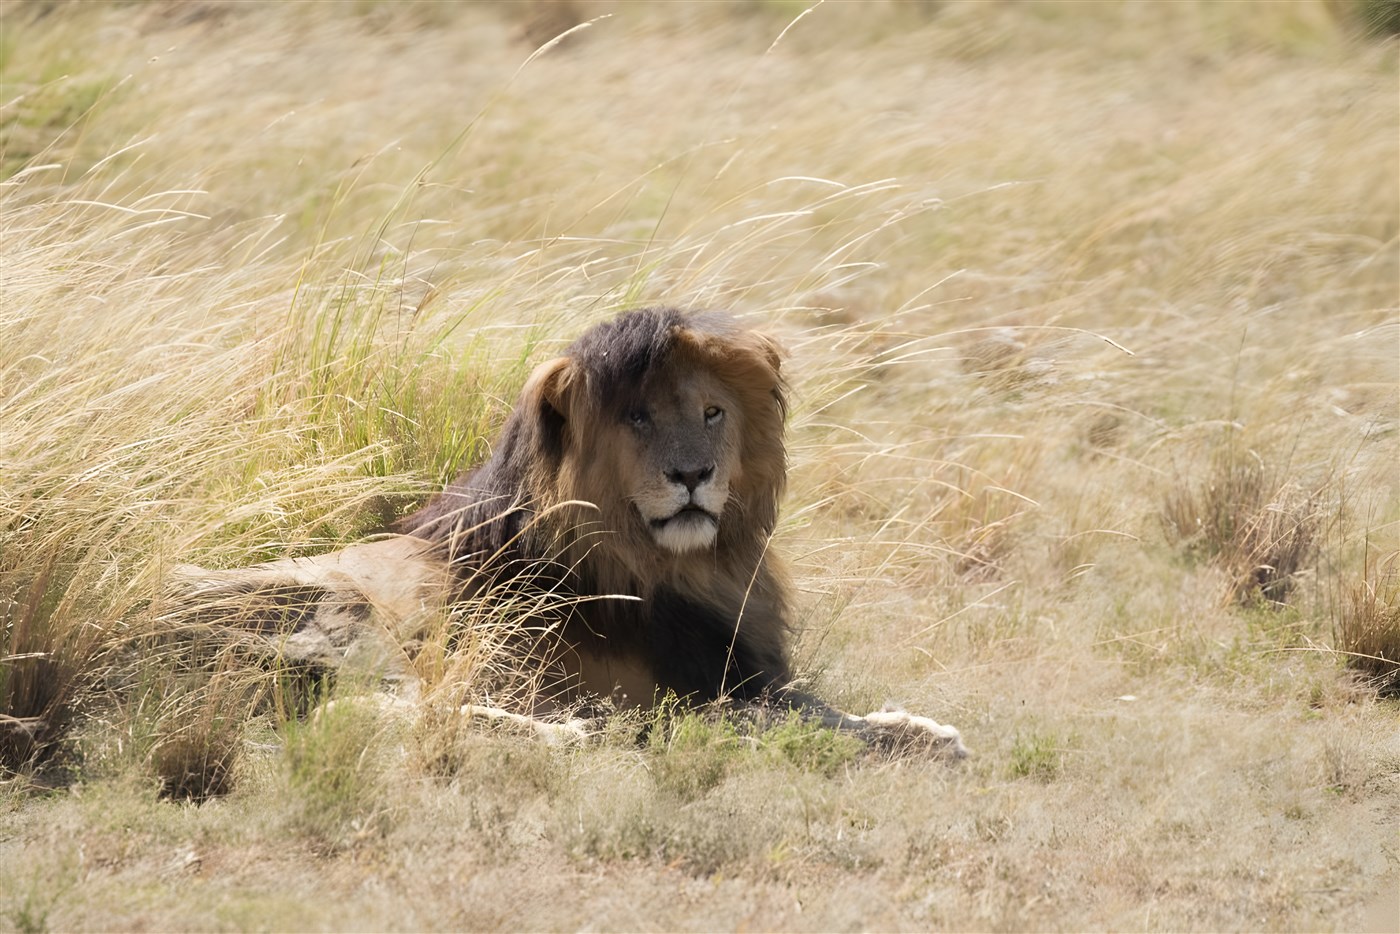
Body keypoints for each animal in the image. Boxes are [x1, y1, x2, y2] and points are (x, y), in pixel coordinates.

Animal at [172, 308, 966, 755]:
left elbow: (819, 708)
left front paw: (911, 726)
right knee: (355, 709)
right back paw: (564, 733)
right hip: (342, 611)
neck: (680, 566)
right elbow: (782, 720)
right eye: (639, 418)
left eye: (712, 412)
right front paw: (911, 737)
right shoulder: (683, 692)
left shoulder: (742, 668)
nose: (693, 474)